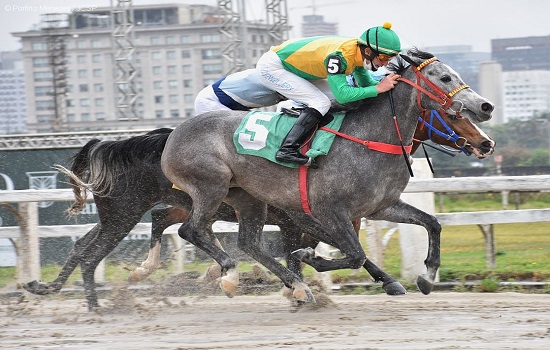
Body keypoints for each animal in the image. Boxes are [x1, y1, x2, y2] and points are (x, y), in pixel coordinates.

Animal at [162, 47, 498, 302]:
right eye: (445, 77)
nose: (486, 107)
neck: (369, 139)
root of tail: (174, 134)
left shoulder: (380, 206)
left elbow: (432, 223)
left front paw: (427, 277)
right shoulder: (326, 211)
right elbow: (355, 253)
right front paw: (312, 258)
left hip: (247, 198)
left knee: (248, 242)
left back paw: (295, 286)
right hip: (210, 187)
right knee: (190, 230)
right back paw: (229, 274)